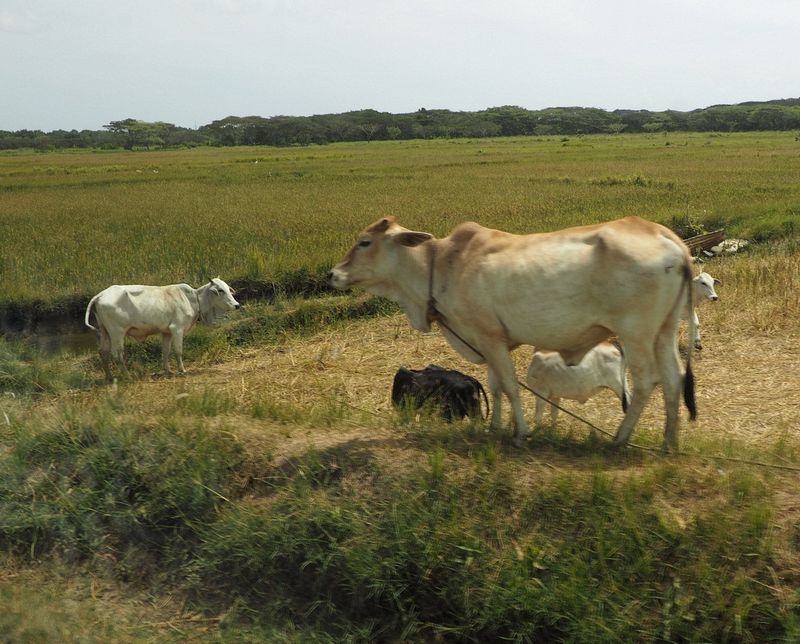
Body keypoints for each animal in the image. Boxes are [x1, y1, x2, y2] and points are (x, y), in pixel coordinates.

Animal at [86, 278, 241, 382]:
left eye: (228, 289)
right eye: (220, 290)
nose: (236, 305)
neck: (194, 299)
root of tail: (100, 295)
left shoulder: (166, 332)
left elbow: (165, 351)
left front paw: (168, 370)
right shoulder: (177, 329)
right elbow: (178, 351)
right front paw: (182, 370)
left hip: (105, 331)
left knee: (103, 352)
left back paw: (109, 377)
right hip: (117, 332)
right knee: (117, 354)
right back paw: (128, 376)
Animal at [328, 214, 696, 450]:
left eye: (364, 242)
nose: (332, 274)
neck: (440, 265)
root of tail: (668, 237)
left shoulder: (489, 337)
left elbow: (510, 386)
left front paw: (520, 433)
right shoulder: (489, 341)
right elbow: (496, 386)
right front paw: (495, 428)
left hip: (635, 333)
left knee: (646, 381)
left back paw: (620, 438)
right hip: (664, 331)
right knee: (673, 378)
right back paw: (670, 441)